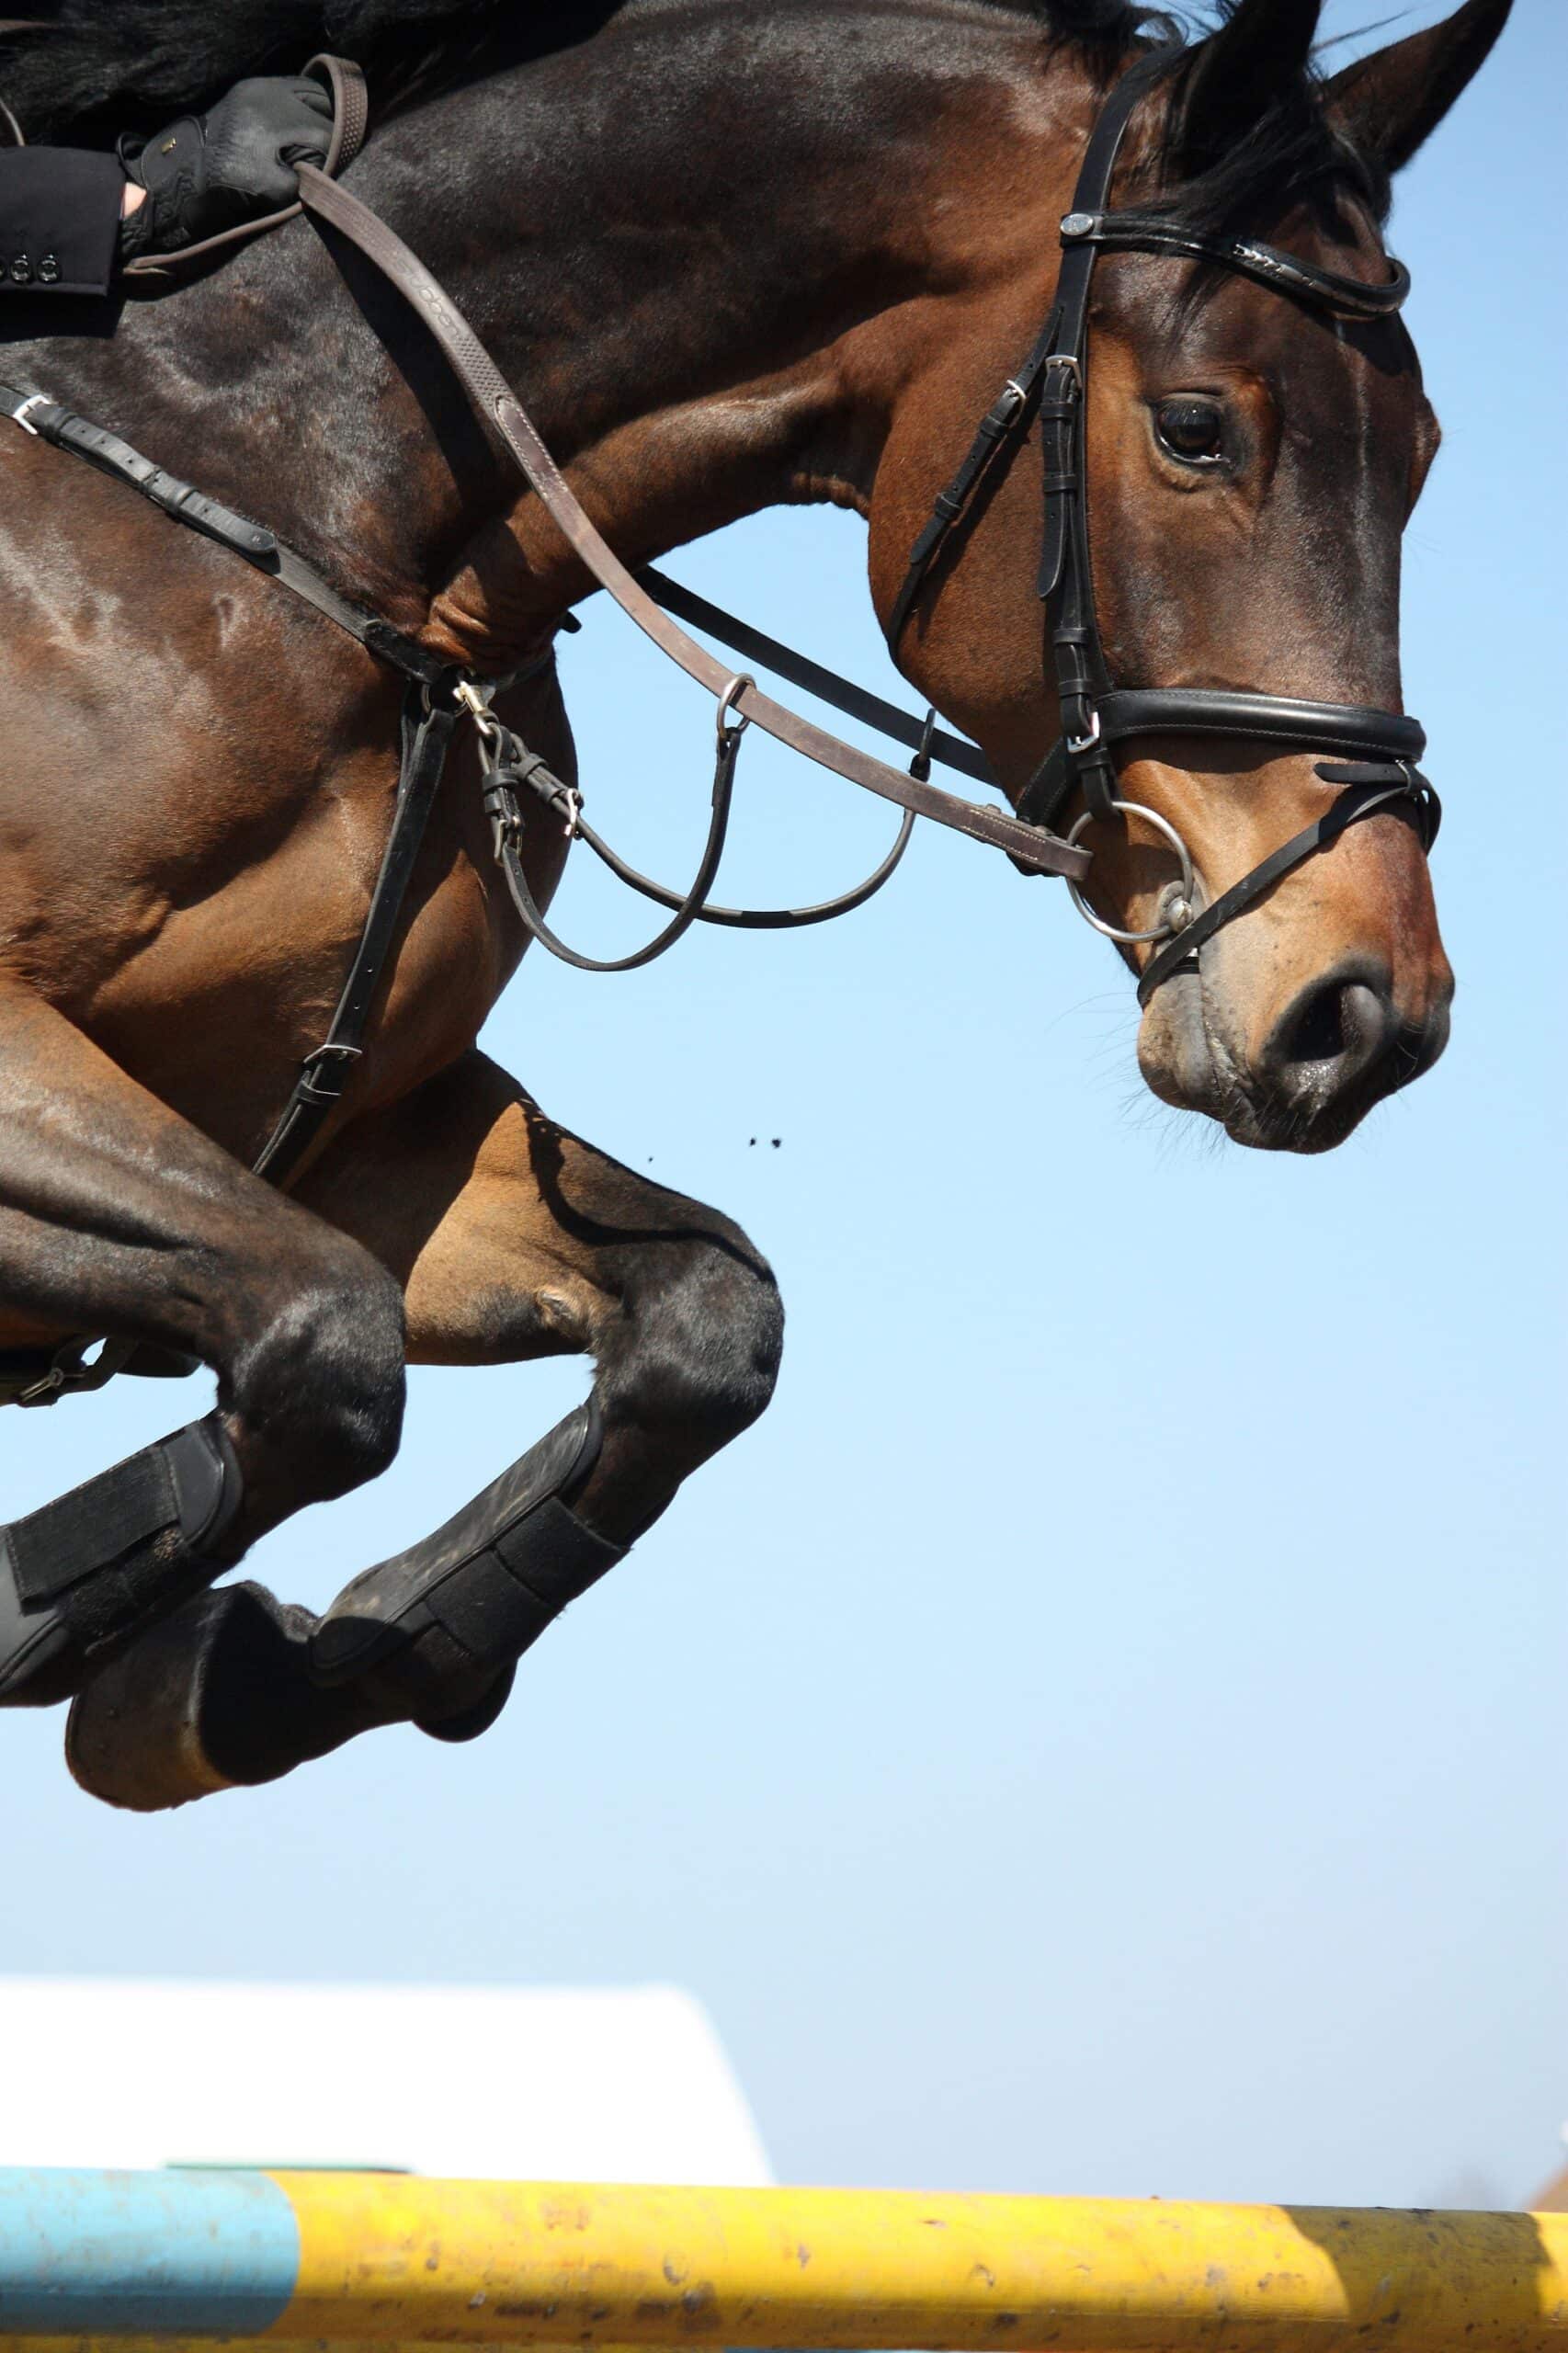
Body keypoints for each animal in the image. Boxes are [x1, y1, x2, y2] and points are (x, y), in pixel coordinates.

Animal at [0, 0, 1506, 1807]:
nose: (1364, 1012)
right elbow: (323, 1342)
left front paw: (230, 1680)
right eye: (1198, 428)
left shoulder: (354, 1129)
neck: (312, 496)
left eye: (1421, 456)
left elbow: (697, 1325)